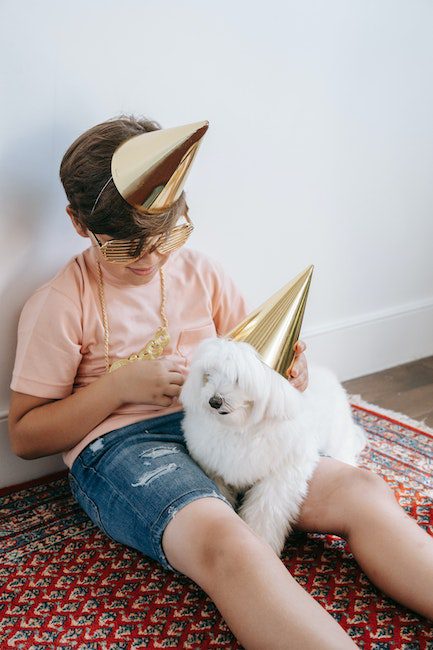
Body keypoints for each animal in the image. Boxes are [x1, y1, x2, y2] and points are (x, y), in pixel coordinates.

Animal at [179, 336, 364, 556]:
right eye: (208, 374)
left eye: (238, 378)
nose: (214, 401)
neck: (241, 428)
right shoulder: (214, 470)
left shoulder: (281, 477)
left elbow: (266, 511)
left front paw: (263, 541)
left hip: (337, 440)